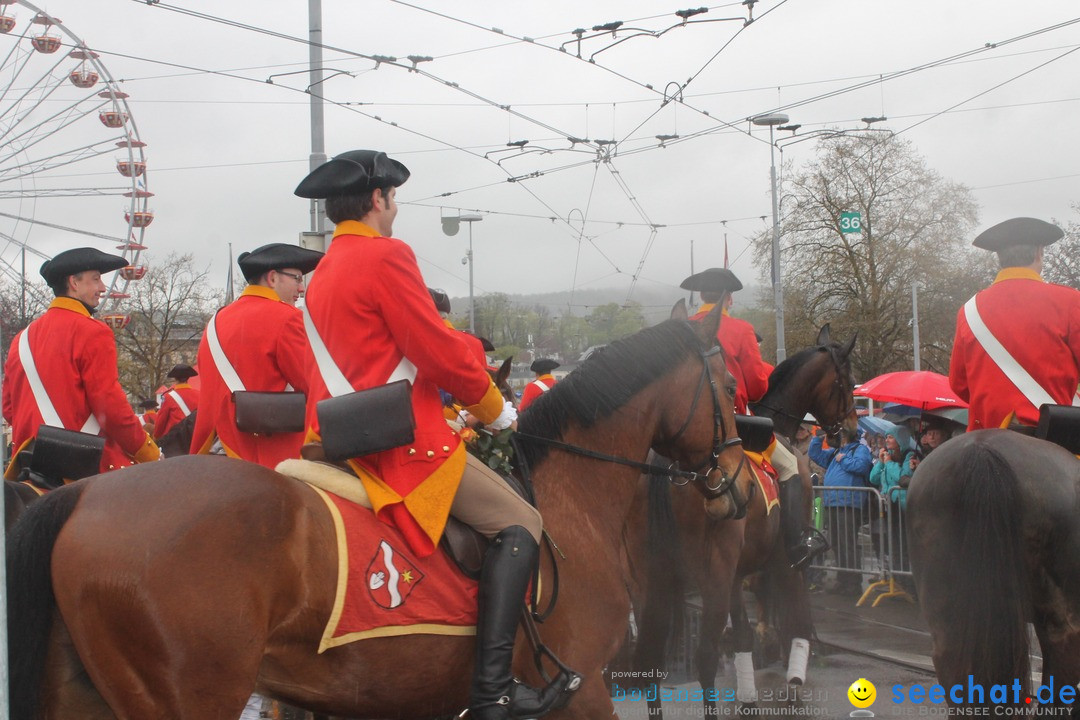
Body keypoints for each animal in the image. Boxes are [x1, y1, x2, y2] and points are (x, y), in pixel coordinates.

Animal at [630, 323, 855, 712]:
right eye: (850, 383)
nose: (853, 431)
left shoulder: (735, 574)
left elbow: (743, 633)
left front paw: (749, 691)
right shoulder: (784, 561)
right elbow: (797, 619)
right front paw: (793, 680)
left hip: (654, 580)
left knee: (651, 660)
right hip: (713, 577)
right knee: (704, 658)